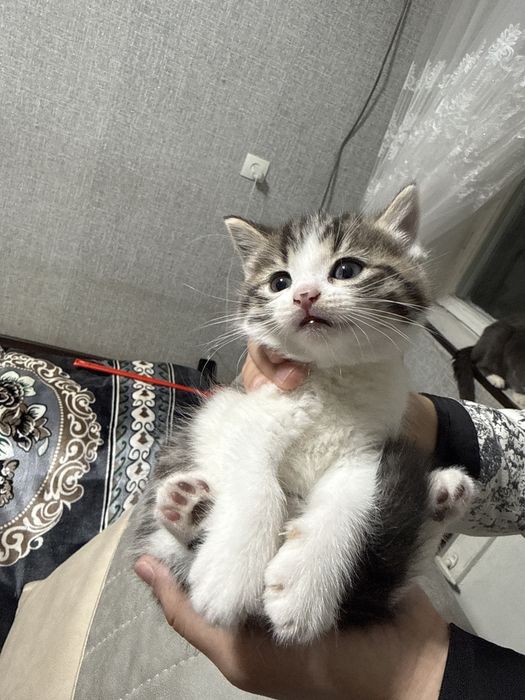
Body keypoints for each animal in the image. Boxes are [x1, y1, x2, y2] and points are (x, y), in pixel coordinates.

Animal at [132, 185, 475, 644]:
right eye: (280, 281)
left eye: (347, 269)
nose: (304, 295)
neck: (330, 379)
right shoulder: (244, 413)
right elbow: (257, 484)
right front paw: (229, 574)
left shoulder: (366, 453)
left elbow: (349, 506)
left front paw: (303, 591)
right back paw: (186, 508)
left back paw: (444, 494)